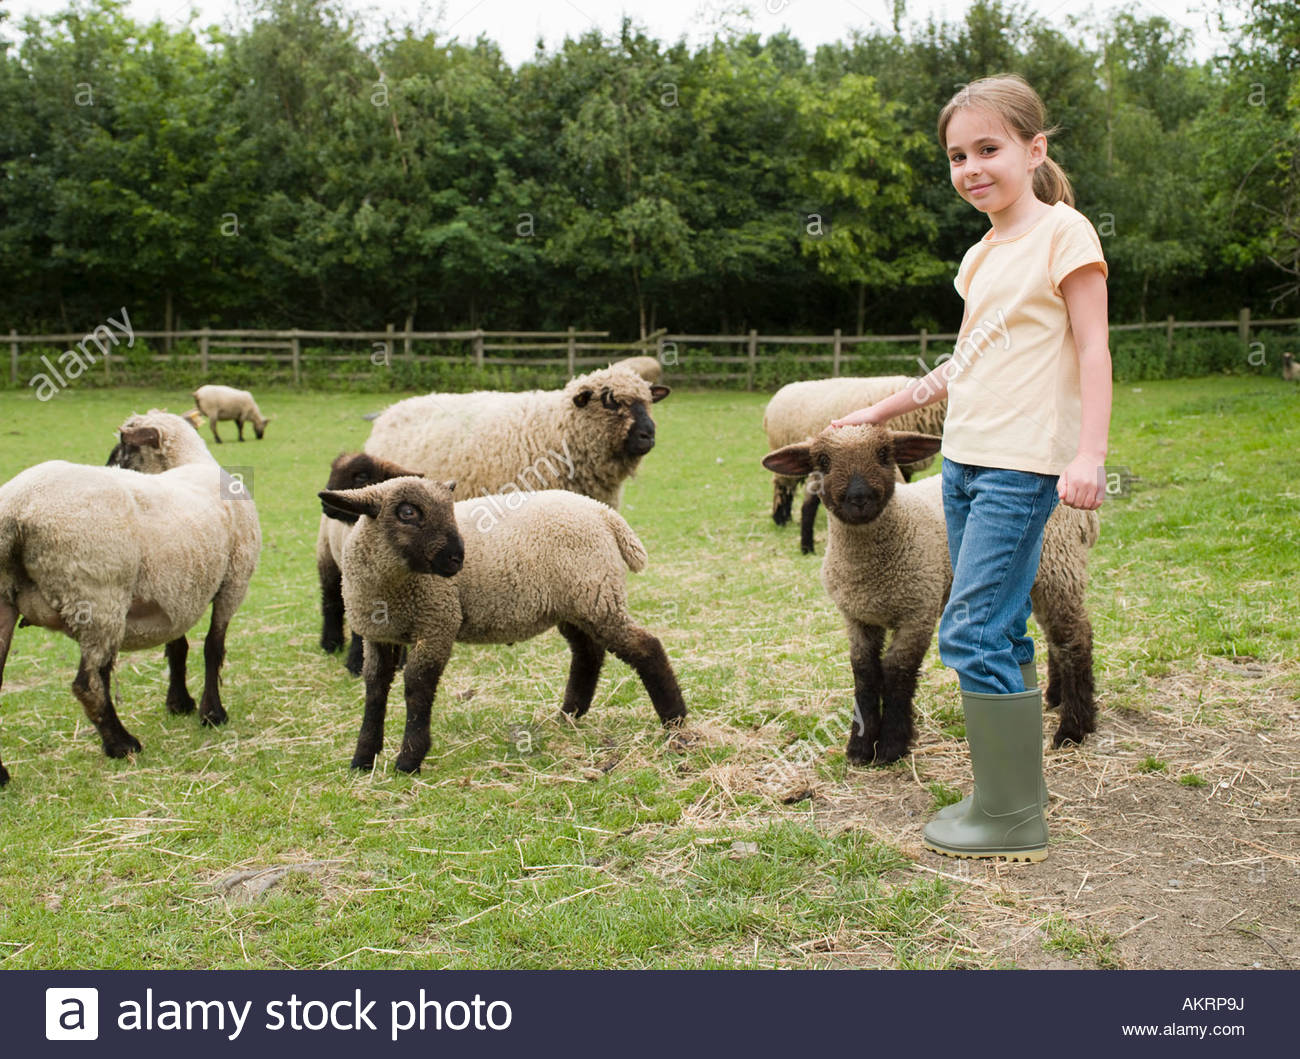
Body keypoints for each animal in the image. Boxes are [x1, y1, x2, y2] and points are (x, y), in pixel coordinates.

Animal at [0, 411, 261, 785]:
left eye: (122, 451)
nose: (110, 464)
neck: (191, 462)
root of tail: (17, 509)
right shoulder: (234, 582)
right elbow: (213, 648)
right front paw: (212, 712)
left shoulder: (177, 590)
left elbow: (178, 647)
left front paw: (179, 702)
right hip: (99, 596)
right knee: (89, 683)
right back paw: (121, 744)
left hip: (10, 602)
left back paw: (2, 773)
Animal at [317, 452, 422, 674]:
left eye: (362, 477)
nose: (325, 502)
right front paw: (357, 663)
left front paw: (404, 662)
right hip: (327, 557)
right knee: (331, 600)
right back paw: (331, 644)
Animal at [318, 478, 686, 774]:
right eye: (407, 512)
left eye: (449, 509)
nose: (457, 558)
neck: (391, 584)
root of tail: (604, 514)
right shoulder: (377, 635)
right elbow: (375, 689)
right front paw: (363, 758)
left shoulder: (437, 623)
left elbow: (417, 689)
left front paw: (408, 761)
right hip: (577, 604)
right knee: (588, 653)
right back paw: (569, 714)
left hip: (597, 596)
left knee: (646, 647)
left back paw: (675, 722)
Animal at [761, 425, 1098, 765]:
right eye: (823, 461)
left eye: (884, 454)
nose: (859, 498)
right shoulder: (857, 617)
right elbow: (864, 673)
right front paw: (859, 747)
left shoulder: (918, 611)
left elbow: (897, 672)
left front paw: (891, 746)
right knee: (1056, 639)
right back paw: (1055, 698)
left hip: (1058, 565)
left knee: (1075, 638)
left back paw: (1073, 728)